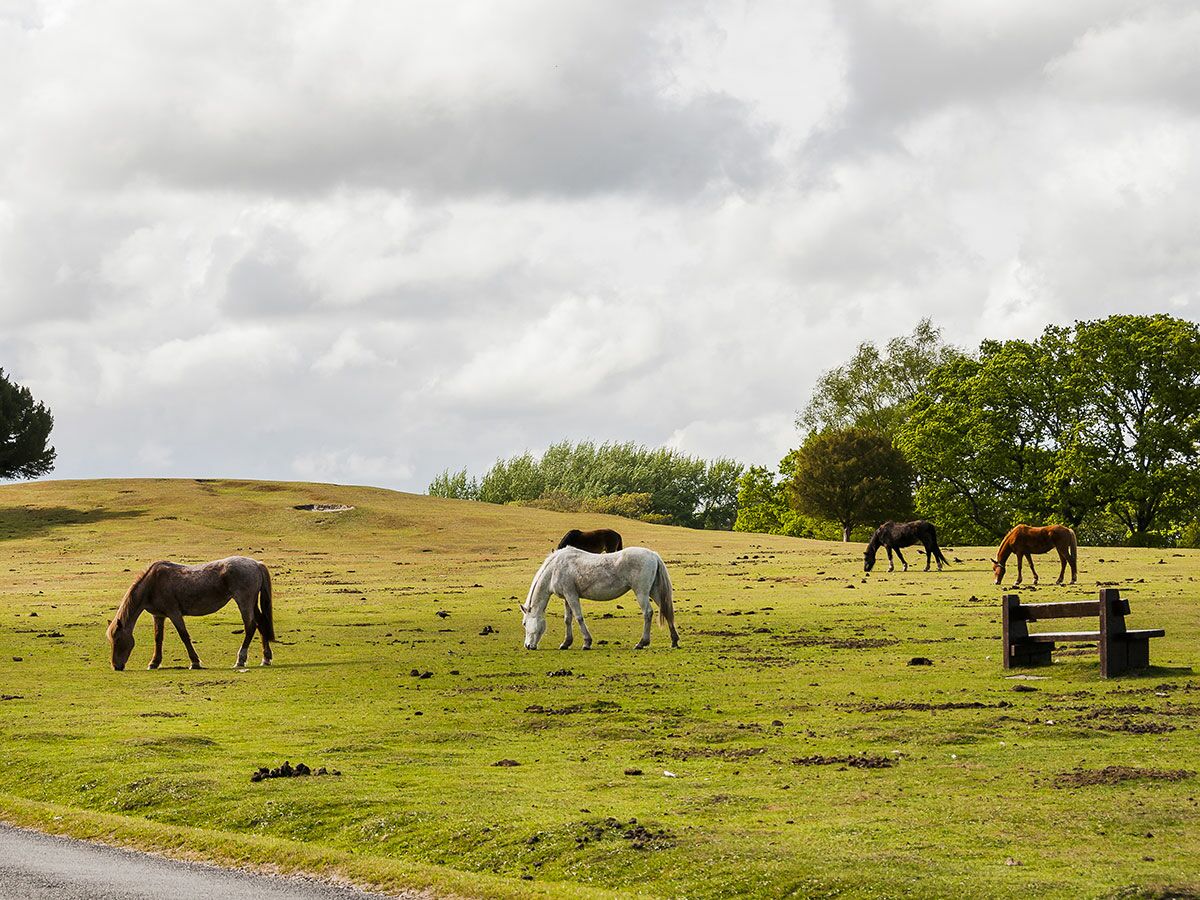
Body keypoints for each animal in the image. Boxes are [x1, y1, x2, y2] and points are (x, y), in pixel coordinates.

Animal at [107, 556, 275, 671]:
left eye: (118, 639)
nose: (116, 666)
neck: (152, 583)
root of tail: (256, 564)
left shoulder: (174, 613)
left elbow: (184, 636)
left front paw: (195, 662)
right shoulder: (159, 616)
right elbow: (158, 638)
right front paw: (154, 662)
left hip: (244, 602)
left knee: (250, 627)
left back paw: (240, 659)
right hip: (252, 603)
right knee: (261, 624)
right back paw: (266, 658)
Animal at [520, 546, 678, 650]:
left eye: (524, 623)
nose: (528, 646)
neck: (554, 568)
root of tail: (653, 555)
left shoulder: (571, 595)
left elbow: (578, 617)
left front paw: (587, 643)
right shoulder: (567, 597)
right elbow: (568, 619)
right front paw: (566, 643)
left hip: (641, 592)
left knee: (648, 613)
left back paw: (641, 643)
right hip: (654, 591)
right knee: (665, 610)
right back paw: (674, 641)